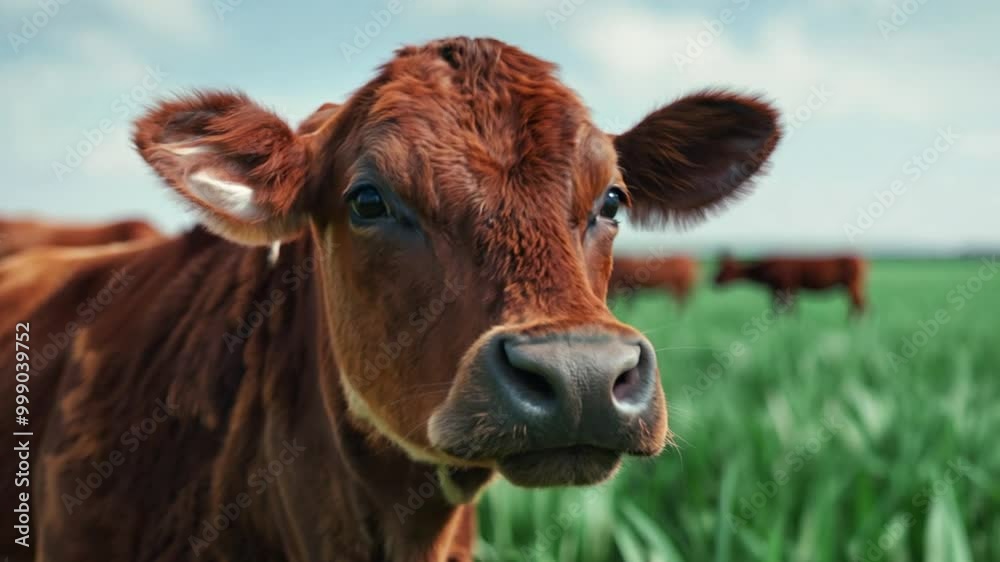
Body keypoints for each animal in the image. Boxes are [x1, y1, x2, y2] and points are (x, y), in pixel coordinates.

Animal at [714, 254, 867, 314]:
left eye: (726, 269)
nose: (713, 281)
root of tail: (861, 259)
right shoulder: (785, 288)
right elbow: (786, 310)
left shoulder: (785, 286)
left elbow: (788, 310)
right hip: (855, 285)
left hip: (853, 284)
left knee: (859, 305)